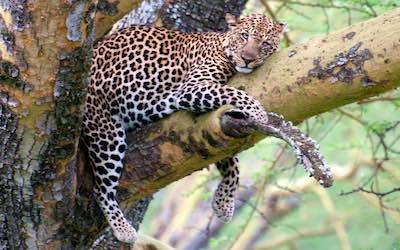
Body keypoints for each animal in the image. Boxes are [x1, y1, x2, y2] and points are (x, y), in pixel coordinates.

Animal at [81, 12, 332, 243]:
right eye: (245, 36)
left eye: (265, 44)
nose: (247, 59)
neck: (224, 47)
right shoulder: (192, 88)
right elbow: (234, 92)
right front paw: (259, 113)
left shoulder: (212, 126)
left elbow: (232, 163)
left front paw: (224, 204)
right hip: (106, 131)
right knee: (101, 189)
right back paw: (122, 229)